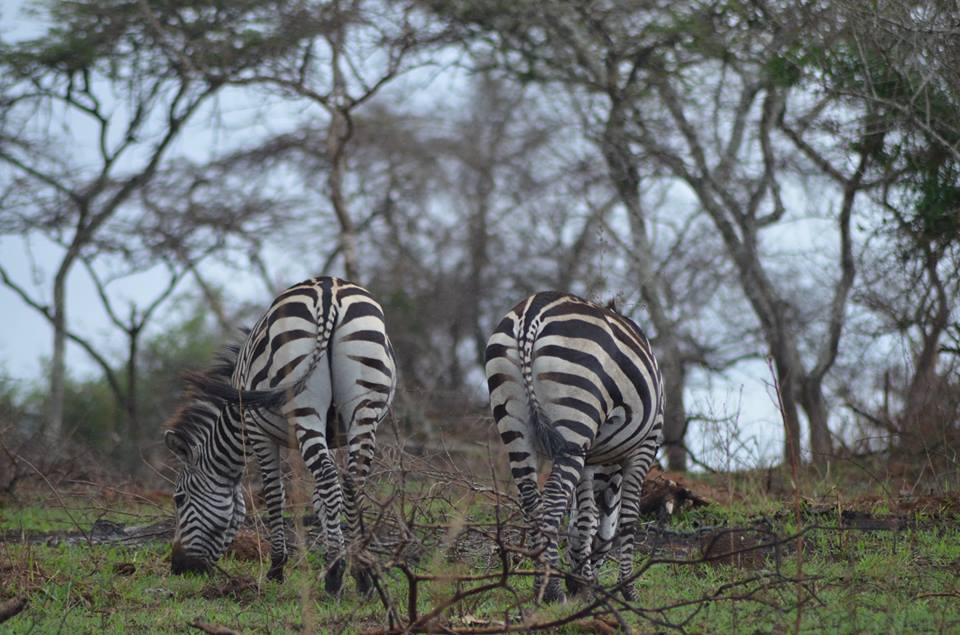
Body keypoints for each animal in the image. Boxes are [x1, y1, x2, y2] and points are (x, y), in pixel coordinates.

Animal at [163, 278, 396, 596]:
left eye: (179, 498)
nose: (178, 567)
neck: (235, 421)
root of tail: (328, 291)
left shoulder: (258, 432)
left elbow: (275, 495)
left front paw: (276, 569)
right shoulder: (333, 435)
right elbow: (322, 497)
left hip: (304, 404)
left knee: (327, 477)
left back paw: (335, 578)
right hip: (363, 403)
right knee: (351, 482)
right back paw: (361, 573)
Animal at [484, 290, 664, 604]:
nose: (574, 582)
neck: (607, 465)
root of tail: (530, 313)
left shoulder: (589, 457)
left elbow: (585, 517)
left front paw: (584, 580)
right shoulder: (646, 445)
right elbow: (625, 516)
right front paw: (627, 589)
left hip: (515, 421)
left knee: (532, 499)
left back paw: (541, 585)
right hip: (575, 414)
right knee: (553, 497)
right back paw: (553, 590)